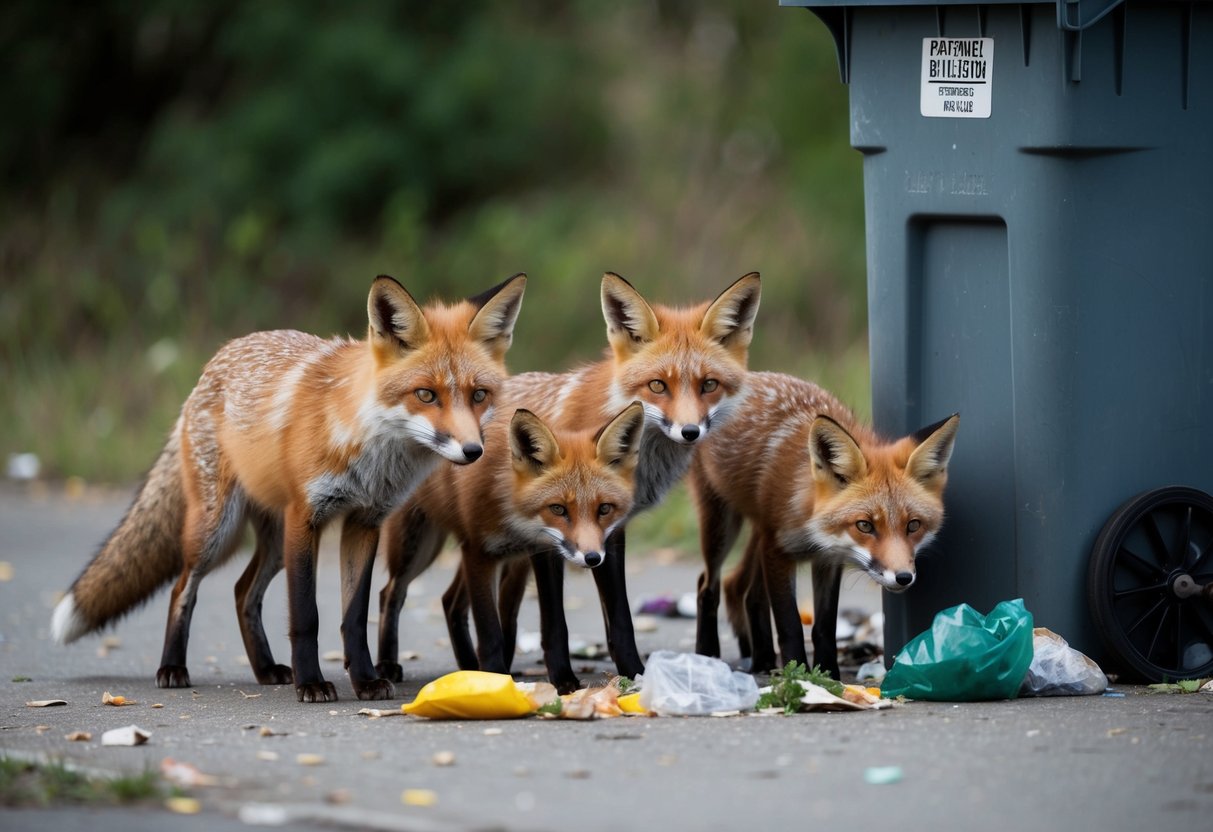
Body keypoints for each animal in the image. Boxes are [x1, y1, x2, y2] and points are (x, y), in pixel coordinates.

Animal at [50, 273, 526, 702]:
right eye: (426, 395)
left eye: (479, 395)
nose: (473, 451)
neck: (369, 449)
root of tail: (214, 363)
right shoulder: (306, 516)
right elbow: (306, 615)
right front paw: (312, 684)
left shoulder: (364, 521)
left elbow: (354, 616)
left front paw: (365, 681)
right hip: (217, 531)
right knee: (181, 588)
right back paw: (172, 668)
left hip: (274, 543)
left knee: (243, 592)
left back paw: (265, 670)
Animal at [376, 402, 645, 687]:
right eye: (558, 509)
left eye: (604, 508)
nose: (591, 558)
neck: (513, 511)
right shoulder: (480, 553)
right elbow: (491, 629)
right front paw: (496, 677)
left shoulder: (557, 549)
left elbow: (603, 621)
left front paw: (633, 673)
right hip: (416, 549)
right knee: (390, 593)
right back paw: (388, 664)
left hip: (510, 563)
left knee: (450, 601)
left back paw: (469, 665)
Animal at [690, 371, 959, 680]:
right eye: (865, 525)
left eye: (913, 525)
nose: (903, 577)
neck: (812, 528)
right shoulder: (777, 550)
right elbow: (790, 624)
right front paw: (798, 671)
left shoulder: (828, 560)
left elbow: (824, 626)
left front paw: (828, 673)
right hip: (722, 526)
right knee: (707, 586)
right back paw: (708, 654)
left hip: (757, 531)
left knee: (745, 592)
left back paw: (762, 659)